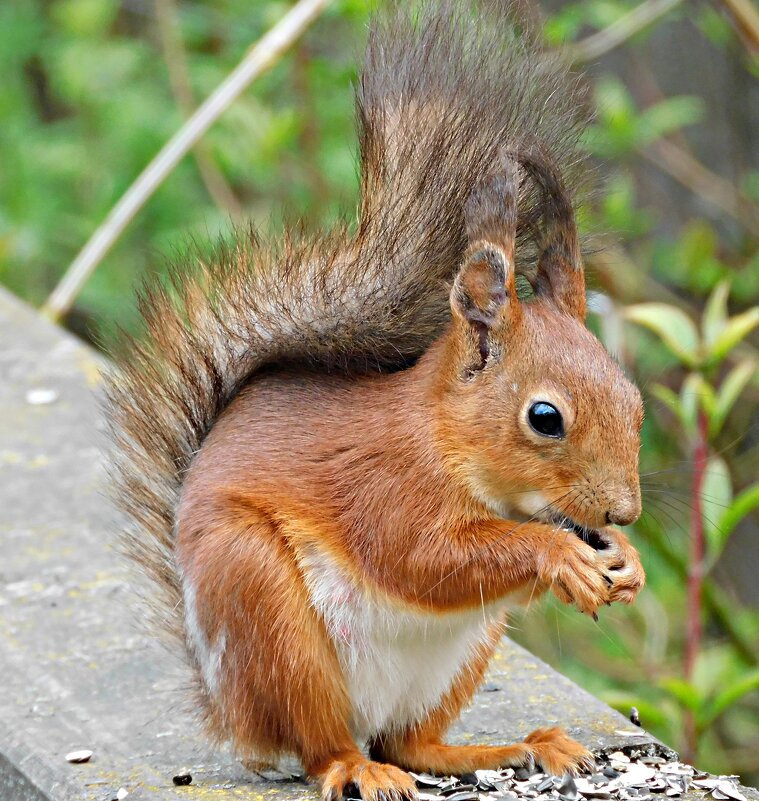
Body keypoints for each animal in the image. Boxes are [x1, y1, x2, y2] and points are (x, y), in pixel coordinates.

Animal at [104, 3, 644, 796]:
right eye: (545, 418)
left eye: (634, 400)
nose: (624, 512)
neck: (449, 442)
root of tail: (228, 710)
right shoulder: (384, 487)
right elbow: (422, 558)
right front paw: (559, 554)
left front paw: (623, 559)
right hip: (268, 614)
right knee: (326, 744)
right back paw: (357, 766)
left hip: (461, 654)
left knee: (412, 741)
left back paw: (509, 749)